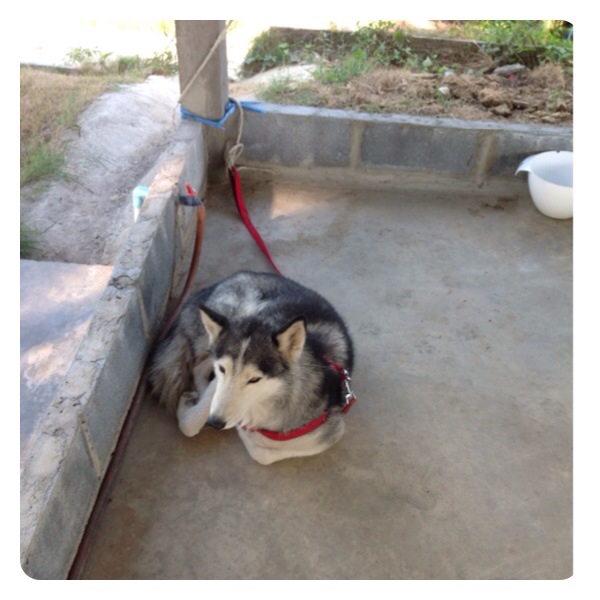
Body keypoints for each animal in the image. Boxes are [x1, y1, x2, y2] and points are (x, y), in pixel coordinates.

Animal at [148, 271, 355, 465]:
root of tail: (239, 275)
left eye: (255, 379)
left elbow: (262, 454)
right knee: (200, 366)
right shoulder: (219, 383)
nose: (215, 423)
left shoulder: (329, 433)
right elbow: (190, 425)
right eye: (223, 370)